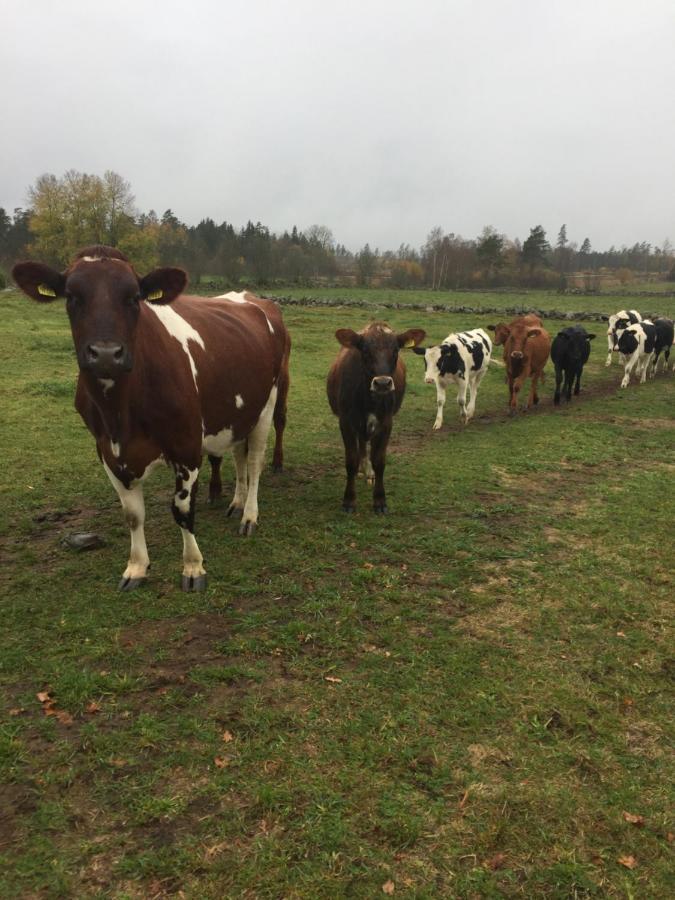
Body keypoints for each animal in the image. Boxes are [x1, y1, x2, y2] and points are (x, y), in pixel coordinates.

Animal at [11, 250, 290, 596]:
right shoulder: (107, 451)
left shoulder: (186, 447)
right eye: (72, 297)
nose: (106, 354)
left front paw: (193, 567)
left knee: (254, 461)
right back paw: (237, 503)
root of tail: (249, 297)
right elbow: (133, 515)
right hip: (238, 411)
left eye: (134, 298)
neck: (121, 416)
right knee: (240, 455)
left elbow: (182, 511)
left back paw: (249, 516)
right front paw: (136, 567)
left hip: (267, 403)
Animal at [324, 322, 426, 512]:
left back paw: (368, 471)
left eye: (396, 350)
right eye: (364, 351)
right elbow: (351, 461)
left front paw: (380, 500)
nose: (383, 383)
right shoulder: (346, 422)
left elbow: (379, 461)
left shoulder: (386, 423)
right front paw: (349, 500)